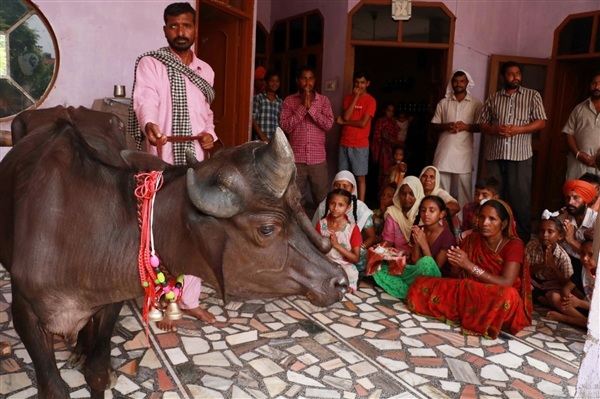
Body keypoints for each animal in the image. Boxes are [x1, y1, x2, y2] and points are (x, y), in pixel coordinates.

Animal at [0, 106, 346, 399]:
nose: (338, 281)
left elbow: (97, 372)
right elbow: (53, 388)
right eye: (267, 229)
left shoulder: (110, 301)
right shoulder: (23, 311)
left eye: (298, 208)